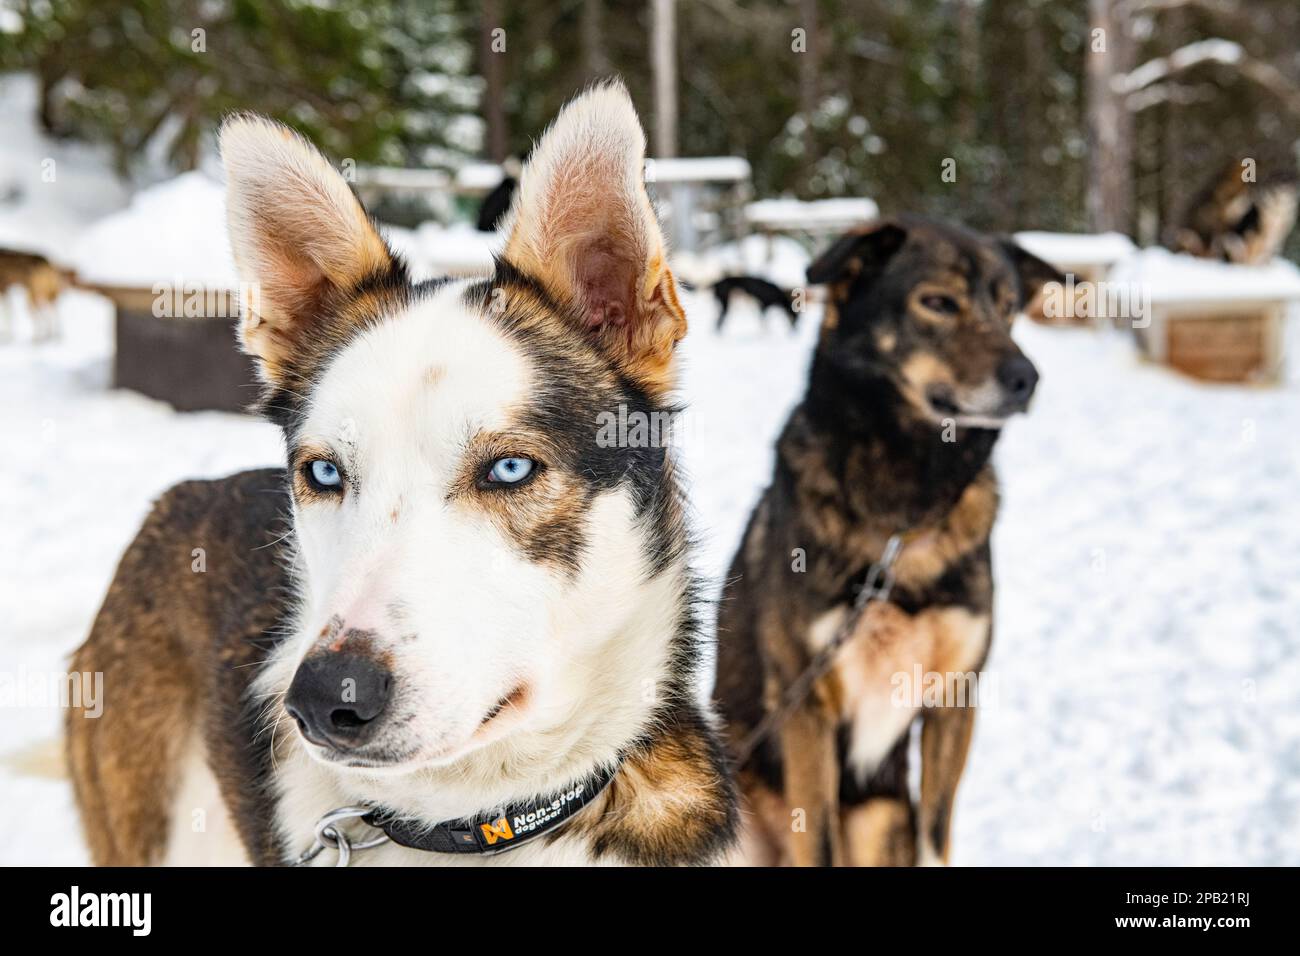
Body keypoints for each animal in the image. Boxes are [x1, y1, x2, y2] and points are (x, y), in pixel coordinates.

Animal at [717, 214, 1060, 868]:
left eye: (1008, 308)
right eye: (938, 303)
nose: (1028, 379)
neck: (905, 516)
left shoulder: (954, 699)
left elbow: (937, 836)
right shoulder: (808, 708)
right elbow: (818, 843)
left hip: (880, 816)